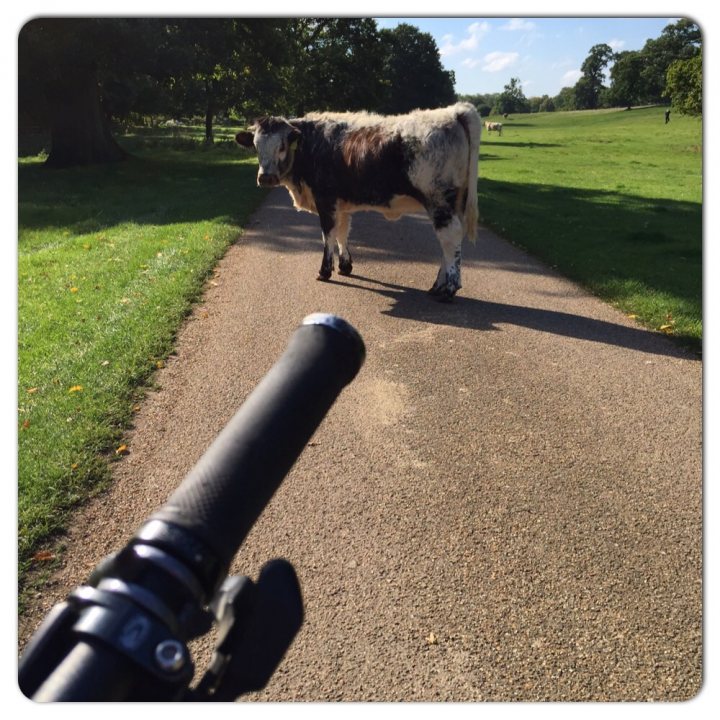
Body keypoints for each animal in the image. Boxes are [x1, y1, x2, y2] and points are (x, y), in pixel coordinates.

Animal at [236, 102, 480, 300]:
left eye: (282, 146)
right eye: (256, 146)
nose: (266, 178)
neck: (312, 145)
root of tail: (453, 111)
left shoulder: (325, 200)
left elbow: (328, 235)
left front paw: (325, 271)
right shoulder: (341, 203)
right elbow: (343, 232)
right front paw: (345, 265)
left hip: (438, 200)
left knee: (449, 237)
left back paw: (448, 289)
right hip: (453, 203)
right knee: (448, 242)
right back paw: (438, 286)